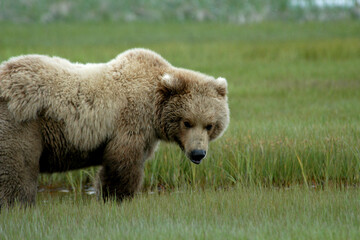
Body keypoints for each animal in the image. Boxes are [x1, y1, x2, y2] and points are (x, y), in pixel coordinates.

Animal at [0, 48, 229, 206]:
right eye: (187, 122)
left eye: (209, 125)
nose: (198, 153)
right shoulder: (131, 121)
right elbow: (122, 164)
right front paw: (116, 197)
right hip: (22, 123)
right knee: (18, 171)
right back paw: (18, 204)